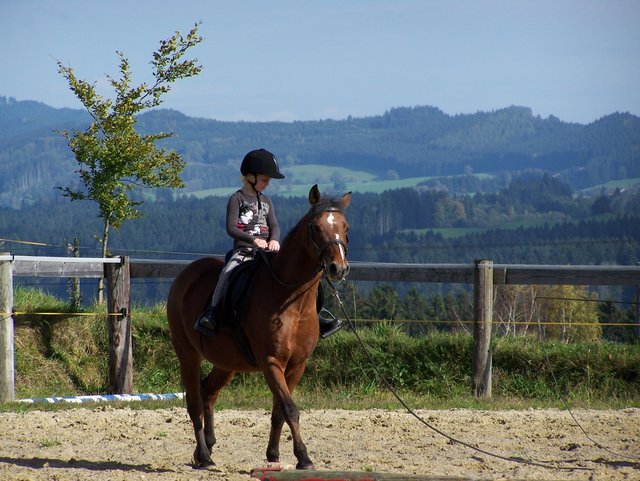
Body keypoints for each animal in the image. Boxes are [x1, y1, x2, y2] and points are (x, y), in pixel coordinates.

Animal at [168, 185, 352, 468]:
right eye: (315, 227)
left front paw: (274, 455)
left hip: (226, 362)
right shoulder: (271, 362)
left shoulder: (297, 365)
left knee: (208, 392)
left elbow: (279, 411)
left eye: (345, 227)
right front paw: (303, 457)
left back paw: (206, 447)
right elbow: (290, 409)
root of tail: (186, 275)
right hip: (187, 353)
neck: (291, 299)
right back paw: (205, 456)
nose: (338, 268)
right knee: (195, 402)